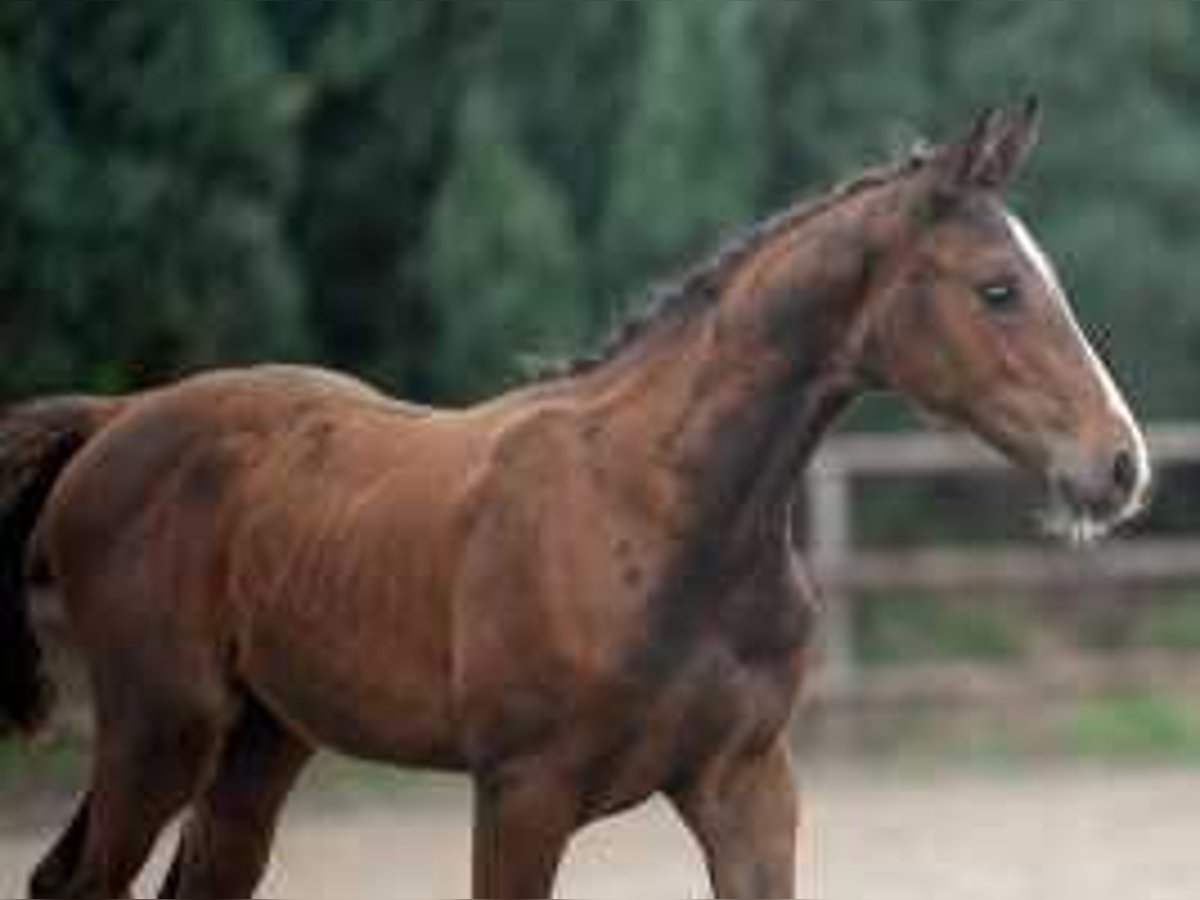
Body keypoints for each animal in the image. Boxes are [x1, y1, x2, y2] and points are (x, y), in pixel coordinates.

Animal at [0, 102, 1147, 897]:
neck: (664, 515)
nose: (1120, 464)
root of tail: (116, 415)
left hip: (261, 739)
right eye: (998, 288)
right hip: (160, 725)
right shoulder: (521, 793)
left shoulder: (747, 783)